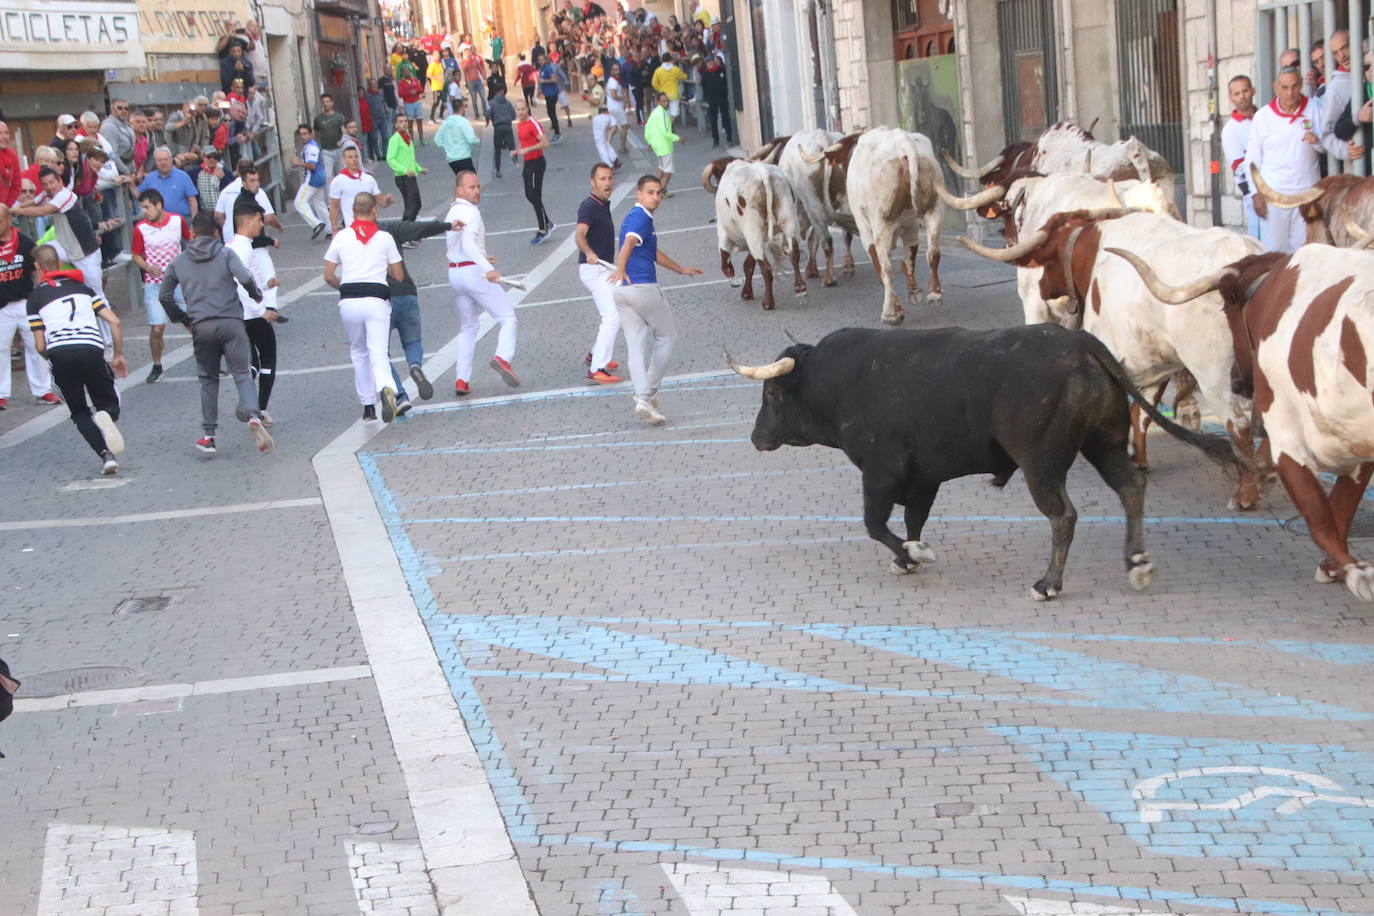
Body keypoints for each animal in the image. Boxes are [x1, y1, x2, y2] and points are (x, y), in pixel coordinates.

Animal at [736, 325, 1242, 598]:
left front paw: (912, 554)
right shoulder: (924, 477)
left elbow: (876, 524)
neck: (836, 382)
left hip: (1041, 463)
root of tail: (1079, 341)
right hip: (1105, 443)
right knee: (1131, 487)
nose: (756, 438)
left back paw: (1048, 584)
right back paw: (1136, 563)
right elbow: (914, 518)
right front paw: (908, 557)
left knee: (1063, 515)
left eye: (771, 393)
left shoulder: (880, 475)